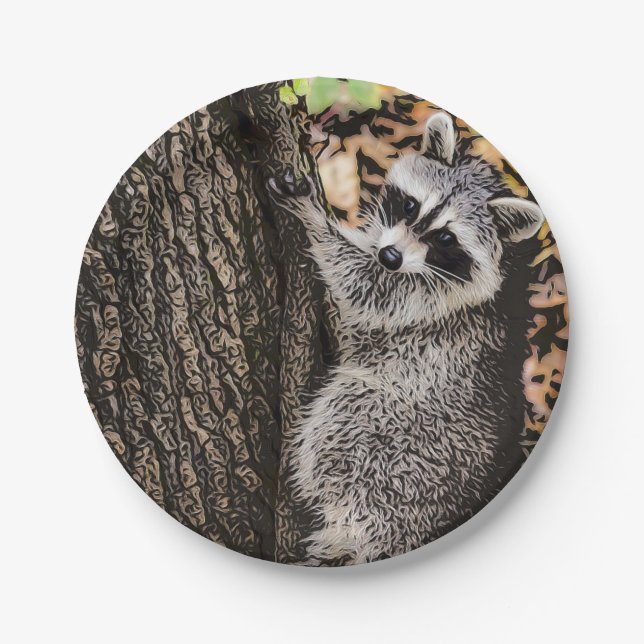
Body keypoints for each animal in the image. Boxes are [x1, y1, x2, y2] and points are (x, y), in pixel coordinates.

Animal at [269, 112, 544, 565]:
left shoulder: (430, 303)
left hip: (398, 452)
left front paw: (316, 219)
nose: (390, 256)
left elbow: (364, 286)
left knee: (348, 411)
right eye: (410, 204)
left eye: (446, 238)